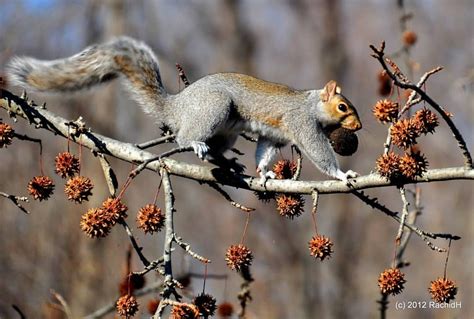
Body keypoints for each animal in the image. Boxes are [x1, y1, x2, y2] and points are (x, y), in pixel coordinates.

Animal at [6, 37, 362, 182]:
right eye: (343, 106)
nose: (358, 128)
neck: (311, 103)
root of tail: (177, 108)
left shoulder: (275, 136)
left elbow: (264, 151)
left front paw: (264, 172)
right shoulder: (301, 124)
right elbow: (318, 151)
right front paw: (342, 173)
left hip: (227, 132)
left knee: (218, 149)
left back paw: (227, 163)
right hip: (214, 109)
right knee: (185, 137)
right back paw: (196, 143)